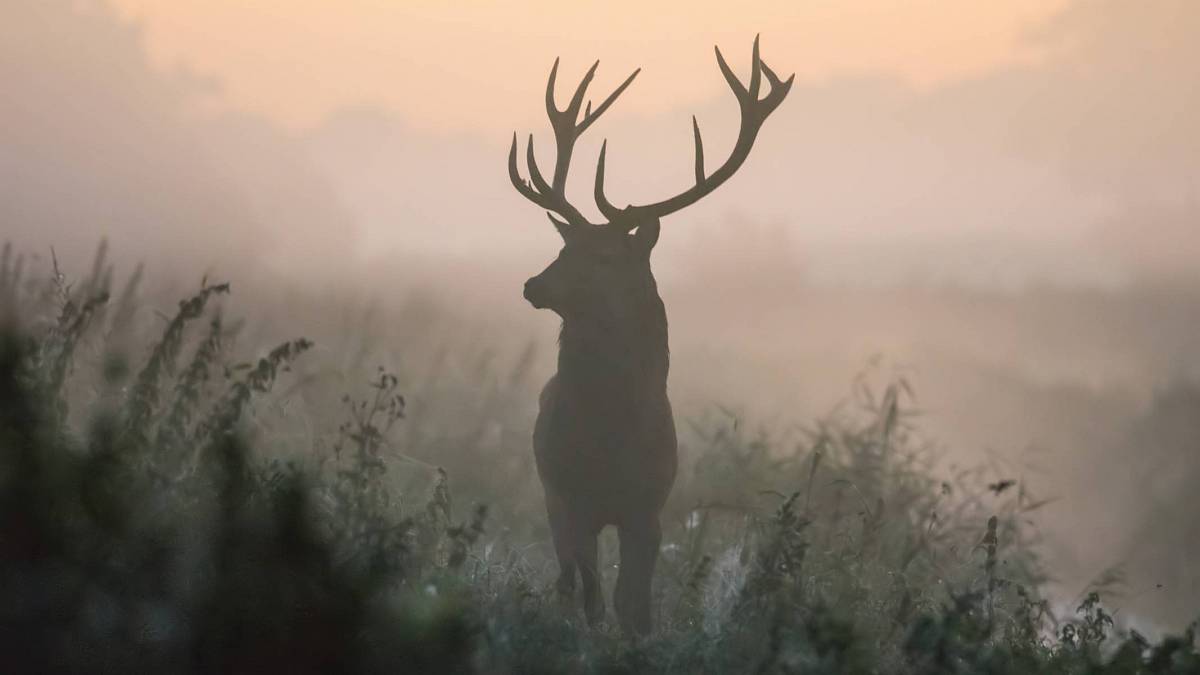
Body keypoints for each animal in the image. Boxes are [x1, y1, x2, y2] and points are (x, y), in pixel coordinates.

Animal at [506, 38, 787, 634]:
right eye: (565, 247)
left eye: (605, 256)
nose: (532, 284)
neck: (611, 433)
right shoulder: (572, 499)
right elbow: (594, 596)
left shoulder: (648, 507)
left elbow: (634, 604)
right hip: (551, 497)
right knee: (568, 582)